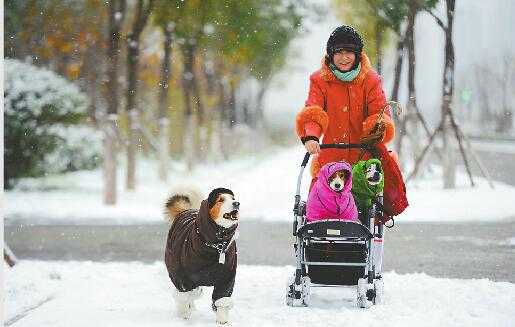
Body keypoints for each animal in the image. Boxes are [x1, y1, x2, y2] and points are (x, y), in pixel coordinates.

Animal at [164, 188, 241, 324]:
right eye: (221, 200)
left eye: (233, 198)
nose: (237, 203)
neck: (215, 244)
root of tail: (185, 211)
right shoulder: (181, 276)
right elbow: (183, 298)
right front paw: (183, 316)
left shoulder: (227, 277)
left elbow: (222, 299)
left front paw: (222, 320)